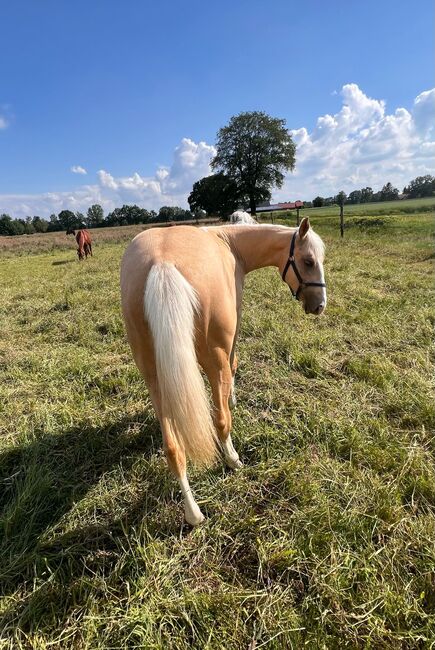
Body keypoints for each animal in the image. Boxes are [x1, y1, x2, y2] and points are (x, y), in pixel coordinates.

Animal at [121, 216, 326, 520]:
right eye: (309, 261)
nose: (320, 305)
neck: (230, 243)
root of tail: (162, 265)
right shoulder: (232, 332)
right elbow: (234, 364)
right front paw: (233, 398)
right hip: (212, 358)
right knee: (221, 419)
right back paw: (232, 459)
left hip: (152, 373)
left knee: (173, 448)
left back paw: (193, 513)